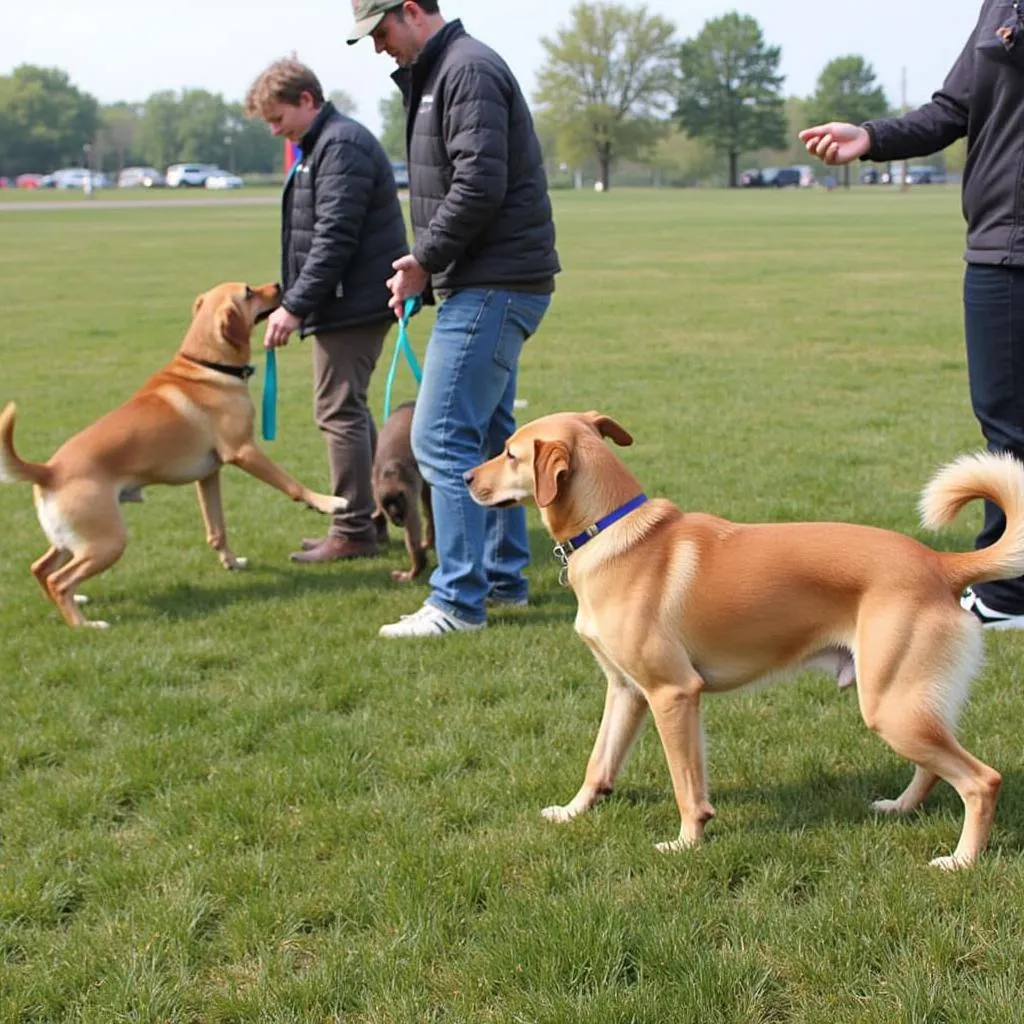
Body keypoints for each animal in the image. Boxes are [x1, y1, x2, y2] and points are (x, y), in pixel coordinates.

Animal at [0, 284, 348, 626]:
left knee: (41, 569)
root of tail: (49, 470)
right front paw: (325, 502)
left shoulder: (209, 475)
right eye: (248, 292)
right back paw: (84, 624)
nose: (278, 285)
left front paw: (232, 563)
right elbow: (290, 484)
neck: (205, 365)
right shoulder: (244, 452)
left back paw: (79, 601)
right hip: (107, 541)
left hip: (71, 540)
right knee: (59, 580)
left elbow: (217, 528)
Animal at [466, 411, 1024, 868]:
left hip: (893, 707)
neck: (610, 533)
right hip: (910, 704)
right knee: (936, 769)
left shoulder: (673, 694)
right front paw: (573, 811)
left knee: (982, 781)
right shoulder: (626, 691)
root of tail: (940, 563)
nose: (466, 477)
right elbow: (599, 763)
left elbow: (686, 785)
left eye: (510, 453)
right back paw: (901, 808)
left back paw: (961, 861)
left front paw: (687, 843)